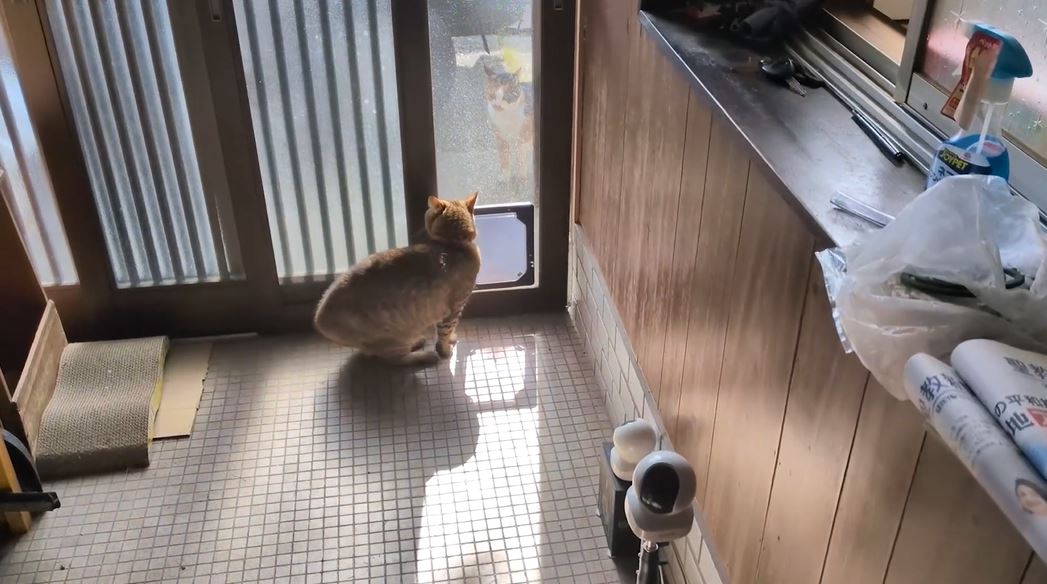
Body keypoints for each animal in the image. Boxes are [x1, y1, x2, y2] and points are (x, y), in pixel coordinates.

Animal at [314, 193, 481, 365]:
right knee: (395, 359)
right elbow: (445, 332)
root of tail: (320, 317)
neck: (453, 244)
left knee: (374, 353)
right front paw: (446, 351)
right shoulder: (454, 308)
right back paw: (425, 355)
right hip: (394, 338)